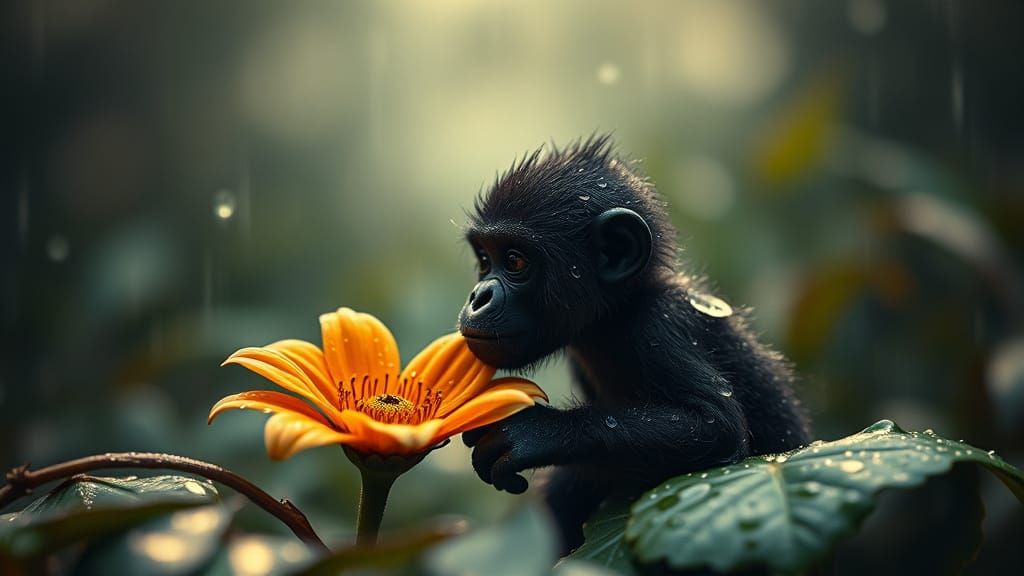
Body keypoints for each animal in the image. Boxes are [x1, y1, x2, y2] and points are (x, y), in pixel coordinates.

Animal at [456, 135, 811, 552]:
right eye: (484, 260)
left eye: (514, 261)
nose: (479, 296)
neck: (615, 315)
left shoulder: (658, 328)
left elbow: (714, 426)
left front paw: (537, 432)